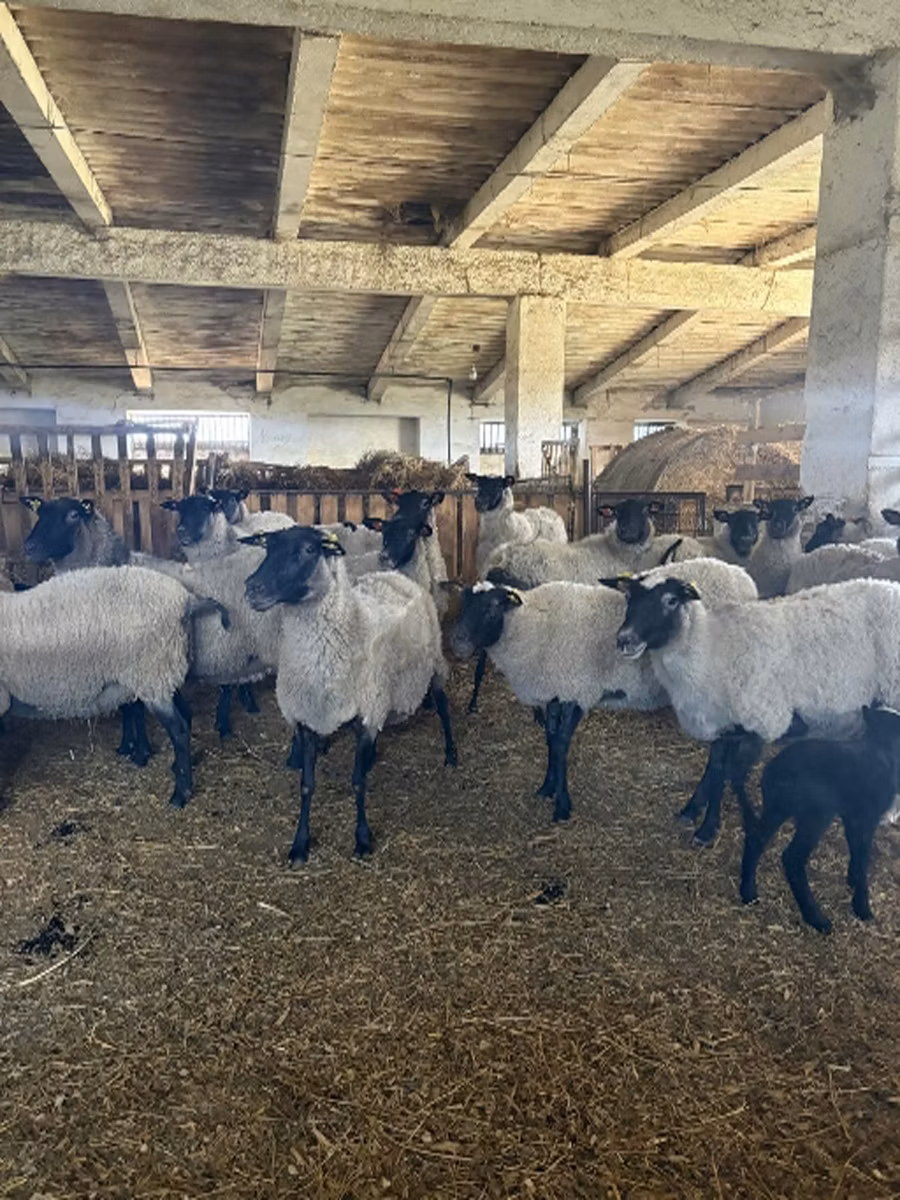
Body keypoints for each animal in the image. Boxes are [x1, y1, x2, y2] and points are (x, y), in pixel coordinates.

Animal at [0, 565, 228, 807]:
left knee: (179, 729)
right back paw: (178, 767)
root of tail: (185, 599)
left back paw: (180, 794)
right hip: (162, 676)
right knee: (186, 713)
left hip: (152, 674)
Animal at [242, 525, 456, 863]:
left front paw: (363, 838)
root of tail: (393, 575)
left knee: (444, 706)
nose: (251, 588)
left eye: (308, 550)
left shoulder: (366, 713)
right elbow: (306, 785)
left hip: (433, 663)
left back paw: (450, 752)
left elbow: (358, 783)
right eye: (268, 548)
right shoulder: (307, 719)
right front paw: (300, 843)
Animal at [448, 558, 757, 823]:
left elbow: (561, 744)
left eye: (491, 607)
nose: (458, 642)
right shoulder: (555, 690)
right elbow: (550, 739)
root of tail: (743, 578)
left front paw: (562, 805)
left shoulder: (578, 690)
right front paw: (547, 787)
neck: (531, 626)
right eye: (464, 603)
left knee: (720, 752)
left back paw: (695, 812)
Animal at [614, 573, 900, 844]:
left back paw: (888, 813)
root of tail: (890, 585)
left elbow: (727, 774)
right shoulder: (721, 723)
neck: (712, 649)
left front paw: (708, 828)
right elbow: (714, 768)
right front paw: (692, 810)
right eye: (628, 597)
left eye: (671, 600)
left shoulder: (759, 724)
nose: (624, 639)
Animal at [739, 703, 900, 933]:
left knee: (756, 839)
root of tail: (776, 774)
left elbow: (854, 847)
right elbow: (863, 857)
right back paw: (816, 918)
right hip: (815, 814)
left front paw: (851, 879)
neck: (882, 753)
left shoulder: (852, 815)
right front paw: (862, 907)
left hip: (776, 808)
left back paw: (748, 892)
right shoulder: (867, 817)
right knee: (792, 858)